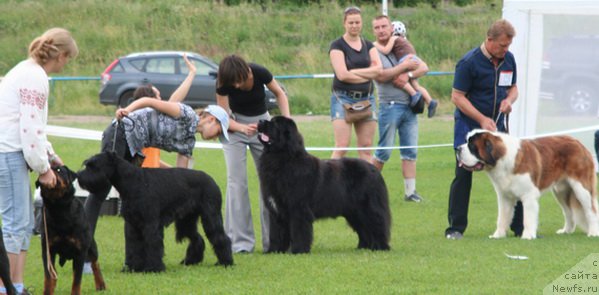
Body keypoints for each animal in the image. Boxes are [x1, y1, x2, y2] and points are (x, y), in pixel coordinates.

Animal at [37, 166, 105, 295]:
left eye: (59, 170)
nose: (47, 172)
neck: (59, 210)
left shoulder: (80, 252)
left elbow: (77, 280)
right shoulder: (48, 251)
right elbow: (48, 277)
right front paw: (48, 291)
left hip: (91, 246)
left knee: (95, 263)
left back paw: (101, 285)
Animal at [75, 153, 234, 272]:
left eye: (94, 166)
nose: (79, 176)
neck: (132, 181)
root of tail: (212, 180)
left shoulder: (150, 224)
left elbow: (152, 244)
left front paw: (154, 268)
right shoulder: (133, 224)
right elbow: (134, 246)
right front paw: (133, 267)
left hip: (210, 217)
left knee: (220, 237)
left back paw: (225, 262)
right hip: (186, 221)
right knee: (197, 238)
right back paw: (190, 261)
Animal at [258, 116, 394, 254]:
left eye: (275, 123)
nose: (260, 121)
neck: (281, 157)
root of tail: (374, 169)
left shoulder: (298, 208)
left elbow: (299, 231)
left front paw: (299, 250)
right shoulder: (276, 210)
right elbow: (276, 233)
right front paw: (273, 251)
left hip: (368, 207)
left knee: (377, 224)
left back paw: (380, 247)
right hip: (354, 211)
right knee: (364, 229)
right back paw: (363, 247)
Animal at [458, 130, 596, 240]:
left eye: (472, 146)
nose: (457, 149)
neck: (503, 160)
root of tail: (579, 143)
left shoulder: (529, 196)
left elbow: (528, 218)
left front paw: (528, 236)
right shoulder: (504, 197)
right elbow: (502, 217)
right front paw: (498, 235)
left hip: (581, 189)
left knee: (591, 210)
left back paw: (593, 232)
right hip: (561, 191)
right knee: (568, 212)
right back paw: (566, 231)